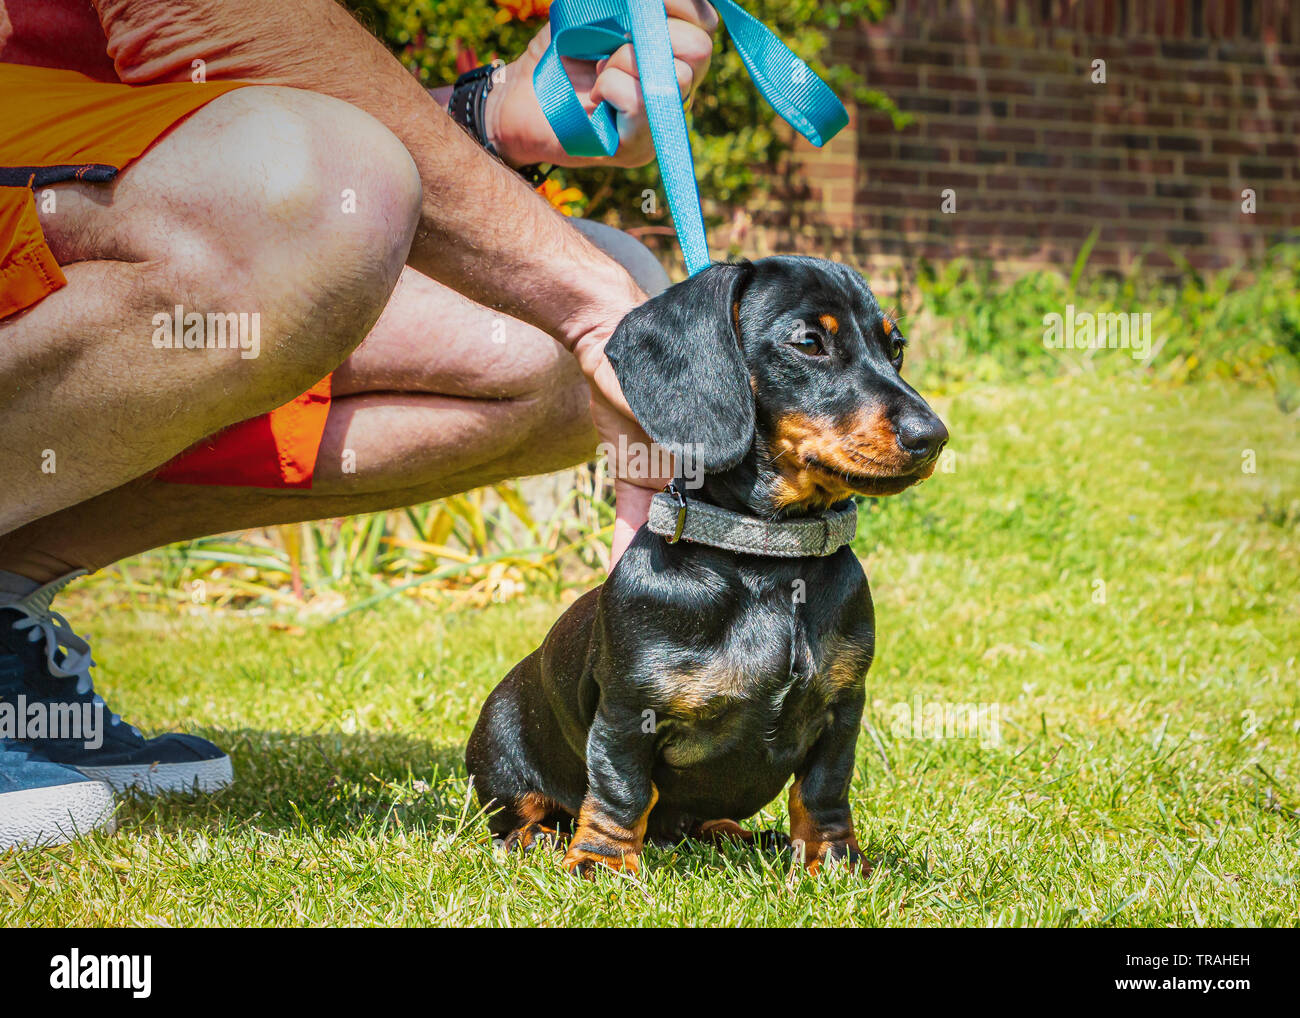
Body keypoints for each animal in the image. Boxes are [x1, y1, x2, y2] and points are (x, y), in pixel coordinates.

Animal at [467, 257, 946, 873]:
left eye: (896, 347)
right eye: (809, 343)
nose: (933, 437)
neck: (767, 560)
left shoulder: (842, 708)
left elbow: (824, 790)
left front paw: (835, 861)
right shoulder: (628, 710)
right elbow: (621, 789)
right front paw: (600, 862)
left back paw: (730, 833)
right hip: (501, 748)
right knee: (518, 811)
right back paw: (537, 838)